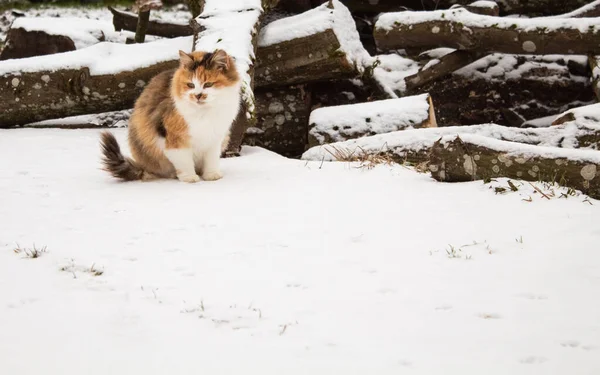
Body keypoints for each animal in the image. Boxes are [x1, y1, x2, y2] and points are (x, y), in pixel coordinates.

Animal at [99, 49, 240, 184]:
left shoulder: (215, 138)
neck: (204, 113)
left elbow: (211, 159)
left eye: (208, 84)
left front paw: (211, 175)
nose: (197, 95)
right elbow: (184, 161)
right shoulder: (174, 139)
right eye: (190, 85)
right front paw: (189, 177)